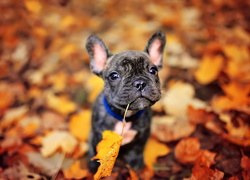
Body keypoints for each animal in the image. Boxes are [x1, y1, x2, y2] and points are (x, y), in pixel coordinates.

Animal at [86, 30, 166, 173]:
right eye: (114, 76)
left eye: (153, 70)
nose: (140, 83)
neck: (125, 116)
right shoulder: (98, 135)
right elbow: (97, 152)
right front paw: (94, 168)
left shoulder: (142, 135)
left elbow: (137, 149)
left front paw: (136, 165)